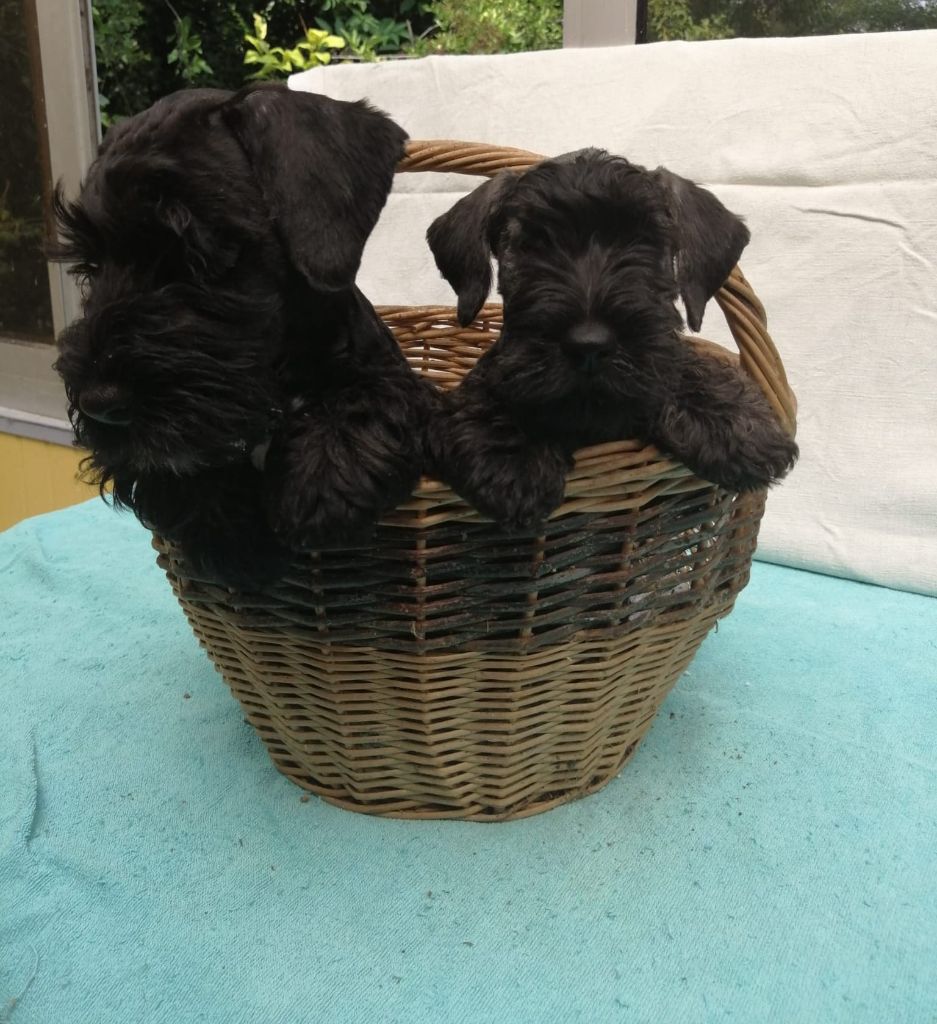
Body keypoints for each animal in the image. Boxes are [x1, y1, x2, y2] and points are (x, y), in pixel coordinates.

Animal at [53, 83, 433, 586]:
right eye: (91, 266)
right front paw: (227, 531)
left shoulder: (393, 378)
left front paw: (324, 480)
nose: (99, 403)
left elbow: (368, 396)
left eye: (197, 250)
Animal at [425, 148, 798, 530]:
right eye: (531, 244)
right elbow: (488, 390)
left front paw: (729, 418)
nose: (589, 346)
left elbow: (679, 365)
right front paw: (509, 450)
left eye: (644, 239)